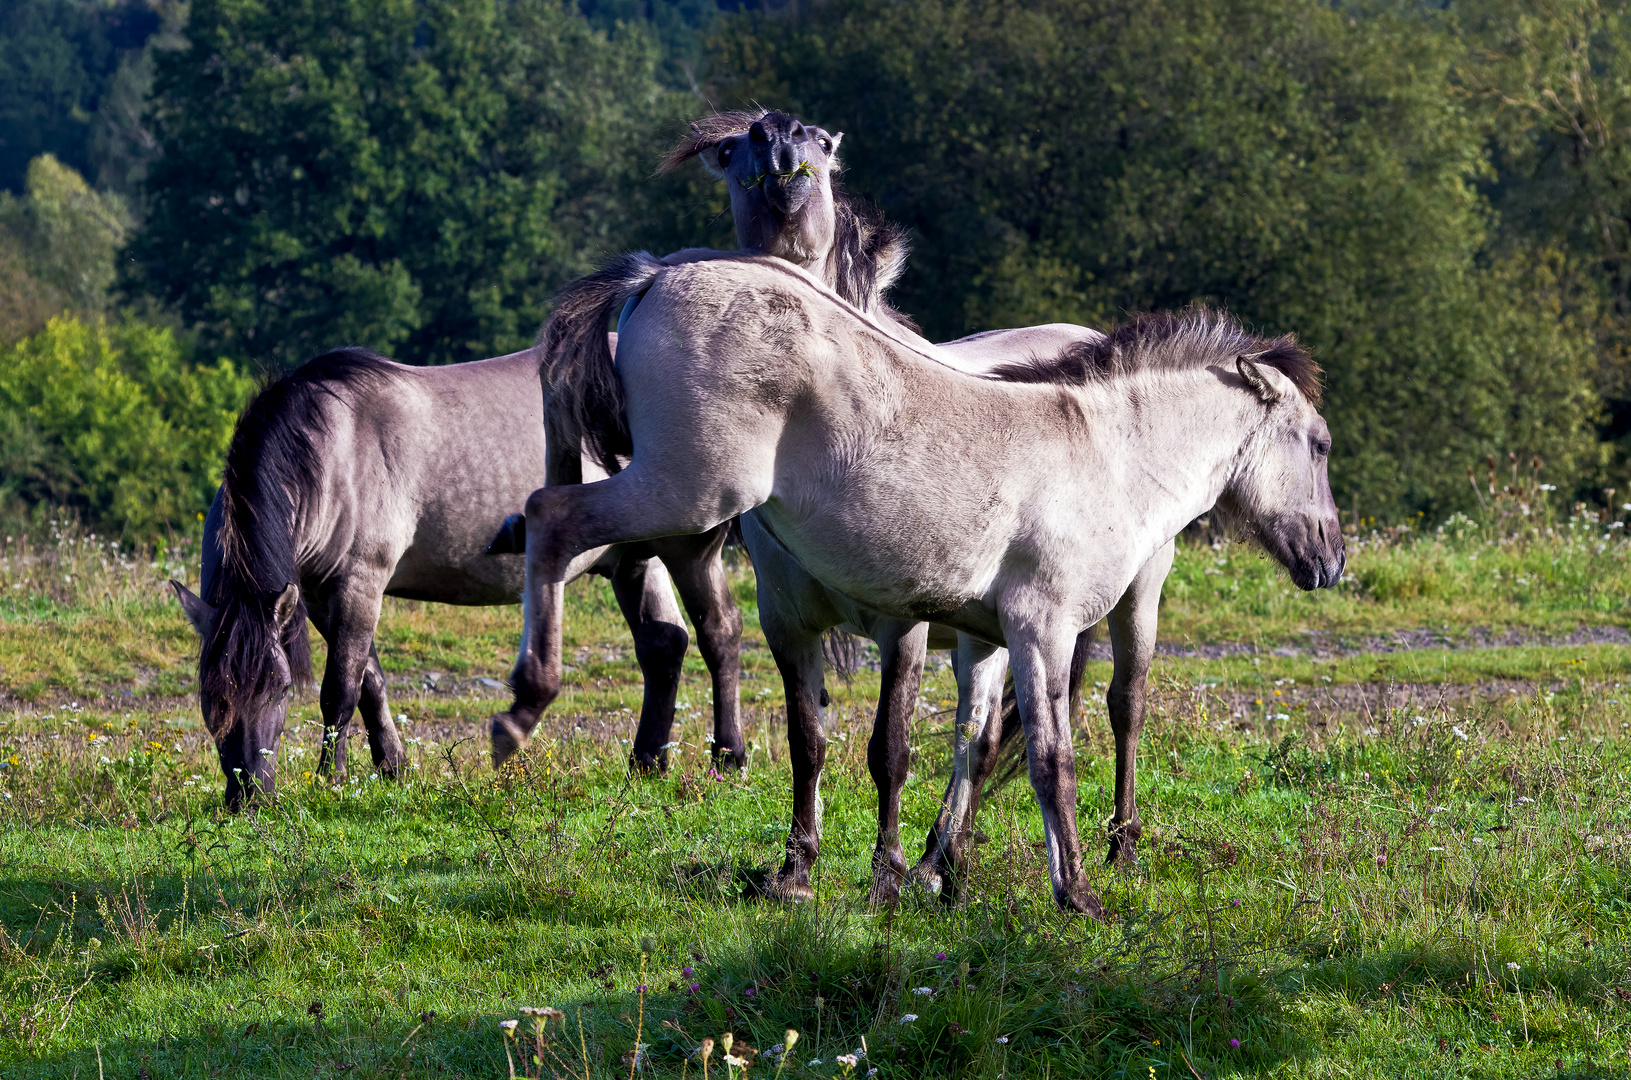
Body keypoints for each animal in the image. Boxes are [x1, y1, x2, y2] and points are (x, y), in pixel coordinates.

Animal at [518, 251, 1337, 913]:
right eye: (1321, 444)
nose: (1329, 559)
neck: (1104, 453)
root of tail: (653, 276)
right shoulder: (1042, 628)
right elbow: (1050, 761)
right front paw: (1074, 894)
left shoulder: (976, 634)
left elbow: (959, 746)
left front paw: (925, 874)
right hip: (684, 491)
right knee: (548, 515)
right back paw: (526, 697)